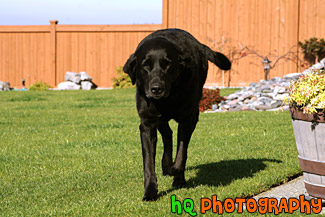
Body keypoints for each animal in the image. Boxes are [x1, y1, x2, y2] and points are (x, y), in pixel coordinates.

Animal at [122, 28, 230, 202]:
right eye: (145, 65)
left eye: (168, 65)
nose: (156, 88)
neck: (168, 99)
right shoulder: (147, 124)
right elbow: (148, 164)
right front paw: (150, 191)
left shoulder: (188, 119)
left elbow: (181, 154)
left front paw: (175, 172)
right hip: (159, 119)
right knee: (167, 134)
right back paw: (166, 165)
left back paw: (175, 175)